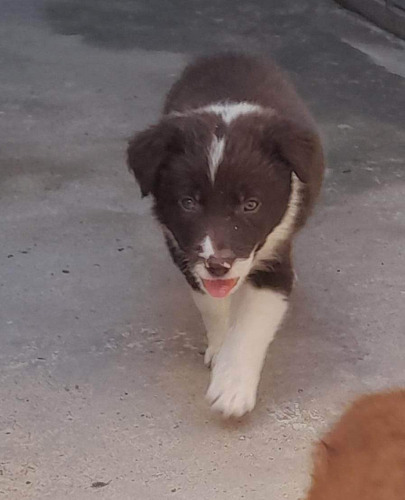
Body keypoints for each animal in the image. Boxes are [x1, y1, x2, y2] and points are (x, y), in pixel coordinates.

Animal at [128, 52, 324, 416]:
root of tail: (231, 54)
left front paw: (232, 389)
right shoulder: (186, 255)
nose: (218, 265)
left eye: (251, 205)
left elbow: (249, 326)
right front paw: (220, 350)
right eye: (188, 202)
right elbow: (213, 306)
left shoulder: (274, 262)